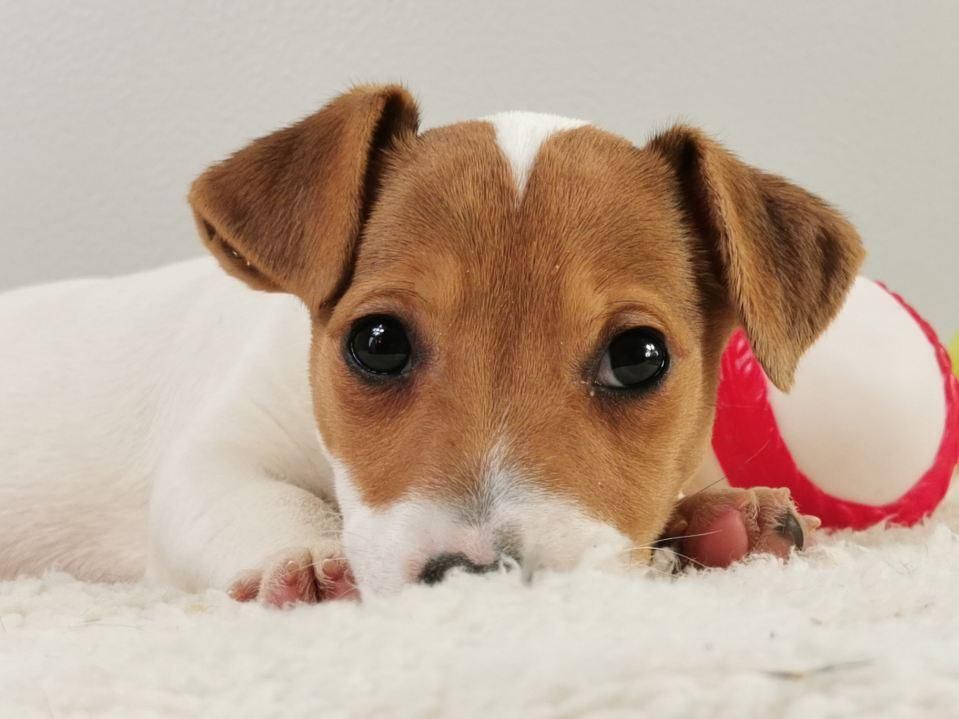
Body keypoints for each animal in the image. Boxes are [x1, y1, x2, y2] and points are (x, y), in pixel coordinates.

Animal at [0, 85, 863, 603]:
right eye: (377, 341)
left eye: (638, 355)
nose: (478, 577)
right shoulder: (217, 453)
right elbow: (258, 497)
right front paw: (306, 559)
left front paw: (721, 515)